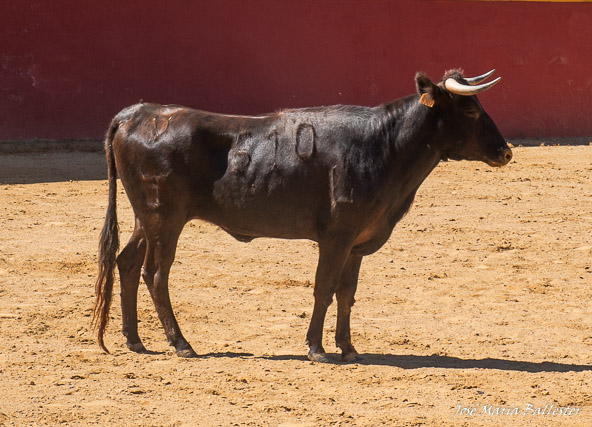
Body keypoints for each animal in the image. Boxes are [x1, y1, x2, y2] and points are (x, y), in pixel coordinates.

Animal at [93, 68, 512, 362]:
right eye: (471, 109)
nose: (506, 152)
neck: (384, 146)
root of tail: (137, 113)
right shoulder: (337, 237)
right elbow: (324, 288)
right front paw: (317, 348)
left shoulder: (357, 242)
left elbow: (347, 293)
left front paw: (349, 348)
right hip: (165, 219)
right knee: (155, 274)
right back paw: (181, 344)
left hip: (145, 218)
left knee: (127, 263)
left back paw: (134, 340)